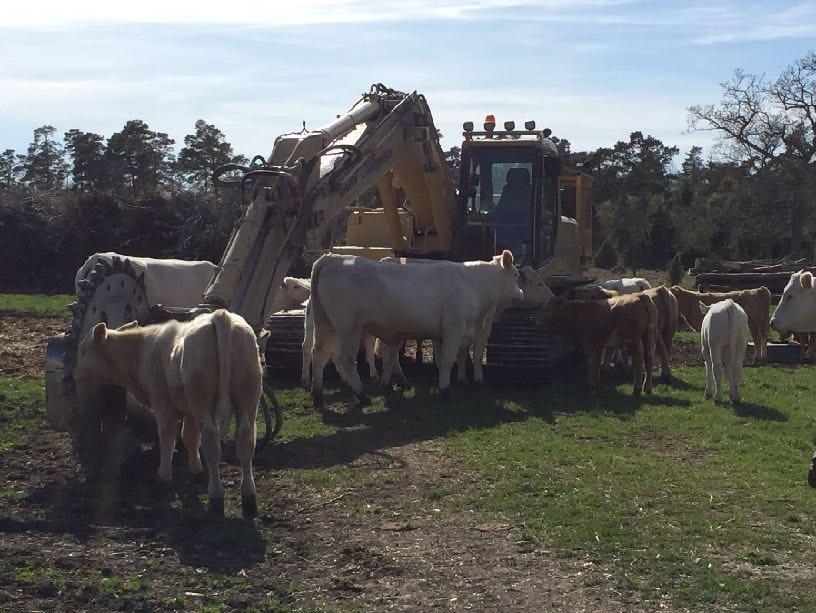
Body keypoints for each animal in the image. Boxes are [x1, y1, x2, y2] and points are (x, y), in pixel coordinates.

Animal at [306, 250, 524, 406]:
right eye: (515, 274)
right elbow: (448, 361)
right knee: (346, 359)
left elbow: (442, 361)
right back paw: (360, 395)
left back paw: (318, 395)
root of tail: (334, 258)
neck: (473, 283)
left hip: (326, 325)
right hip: (348, 328)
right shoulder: (454, 328)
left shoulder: (441, 335)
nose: (521, 294)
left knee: (319, 353)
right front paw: (446, 391)